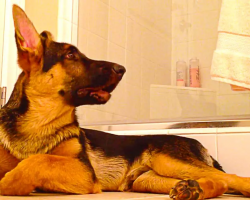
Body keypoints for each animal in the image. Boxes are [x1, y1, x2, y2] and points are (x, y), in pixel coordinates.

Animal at [0, 4, 250, 200]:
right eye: (70, 55)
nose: (122, 69)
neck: (38, 122)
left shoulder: (83, 171)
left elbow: (38, 160)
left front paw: (10, 182)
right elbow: (37, 160)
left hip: (170, 161)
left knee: (233, 177)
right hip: (149, 179)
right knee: (220, 183)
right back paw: (192, 189)